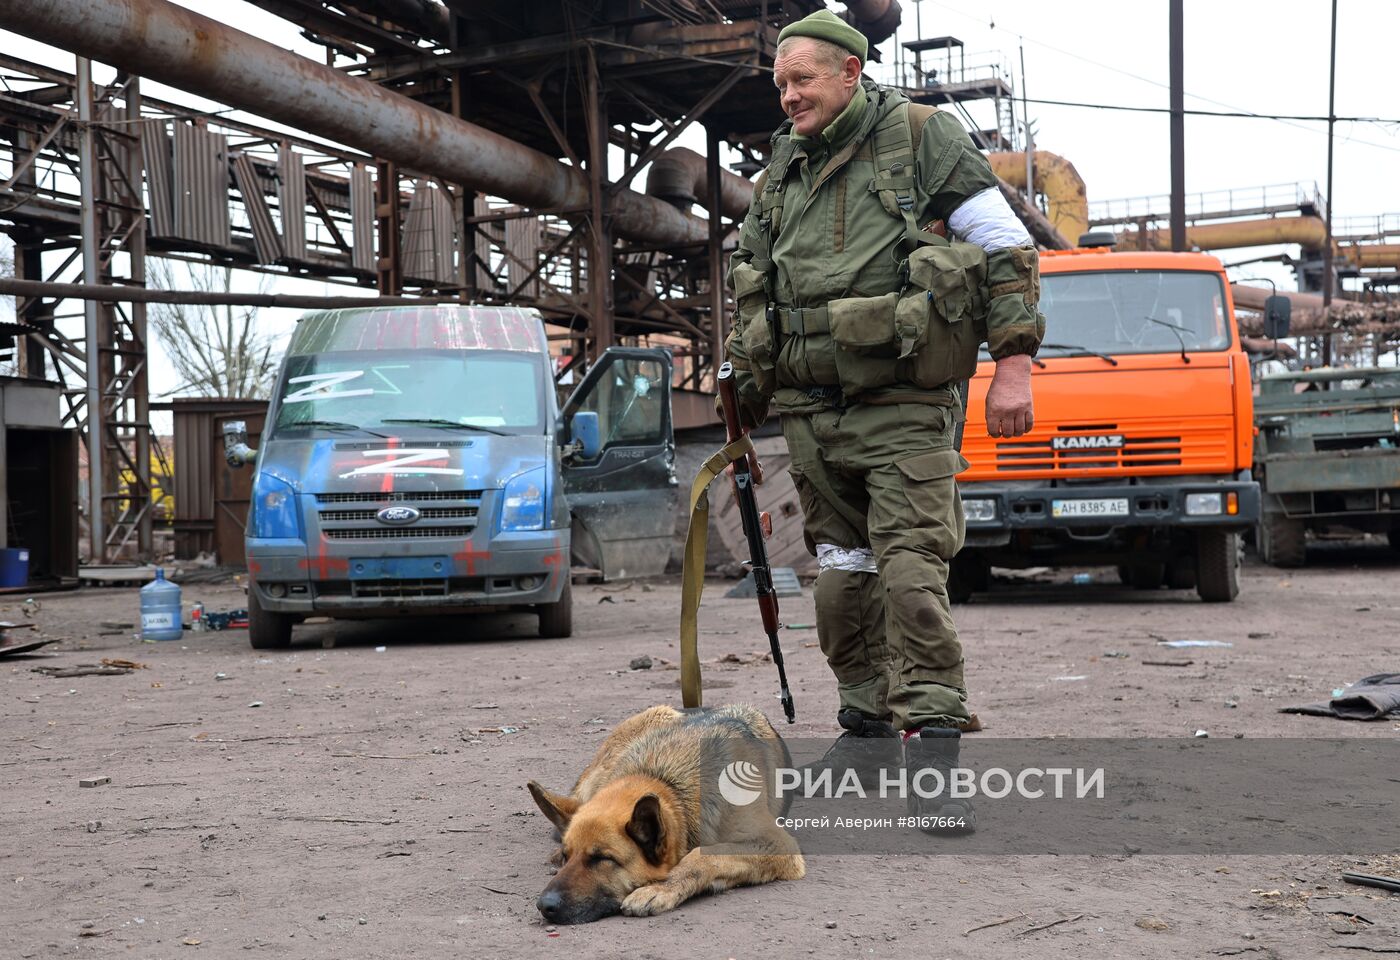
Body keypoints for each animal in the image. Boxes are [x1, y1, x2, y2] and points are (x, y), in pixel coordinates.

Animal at [526, 708, 806, 923]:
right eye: (568, 856)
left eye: (603, 859)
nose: (544, 905)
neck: (664, 780)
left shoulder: (777, 844)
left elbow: (702, 856)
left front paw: (661, 888)